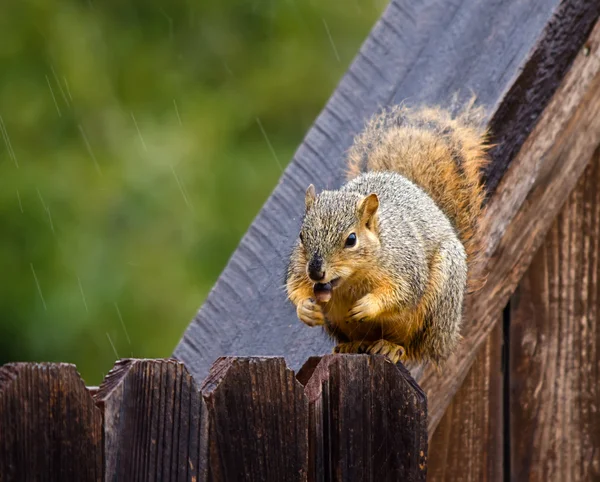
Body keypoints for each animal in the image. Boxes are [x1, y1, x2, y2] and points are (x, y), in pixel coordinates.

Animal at [284, 101, 488, 366]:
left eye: (351, 239)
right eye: (301, 236)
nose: (316, 272)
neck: (351, 280)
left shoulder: (406, 265)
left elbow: (402, 293)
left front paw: (367, 306)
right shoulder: (299, 269)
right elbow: (295, 285)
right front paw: (306, 309)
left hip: (438, 301)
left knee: (416, 347)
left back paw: (392, 347)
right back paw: (351, 345)